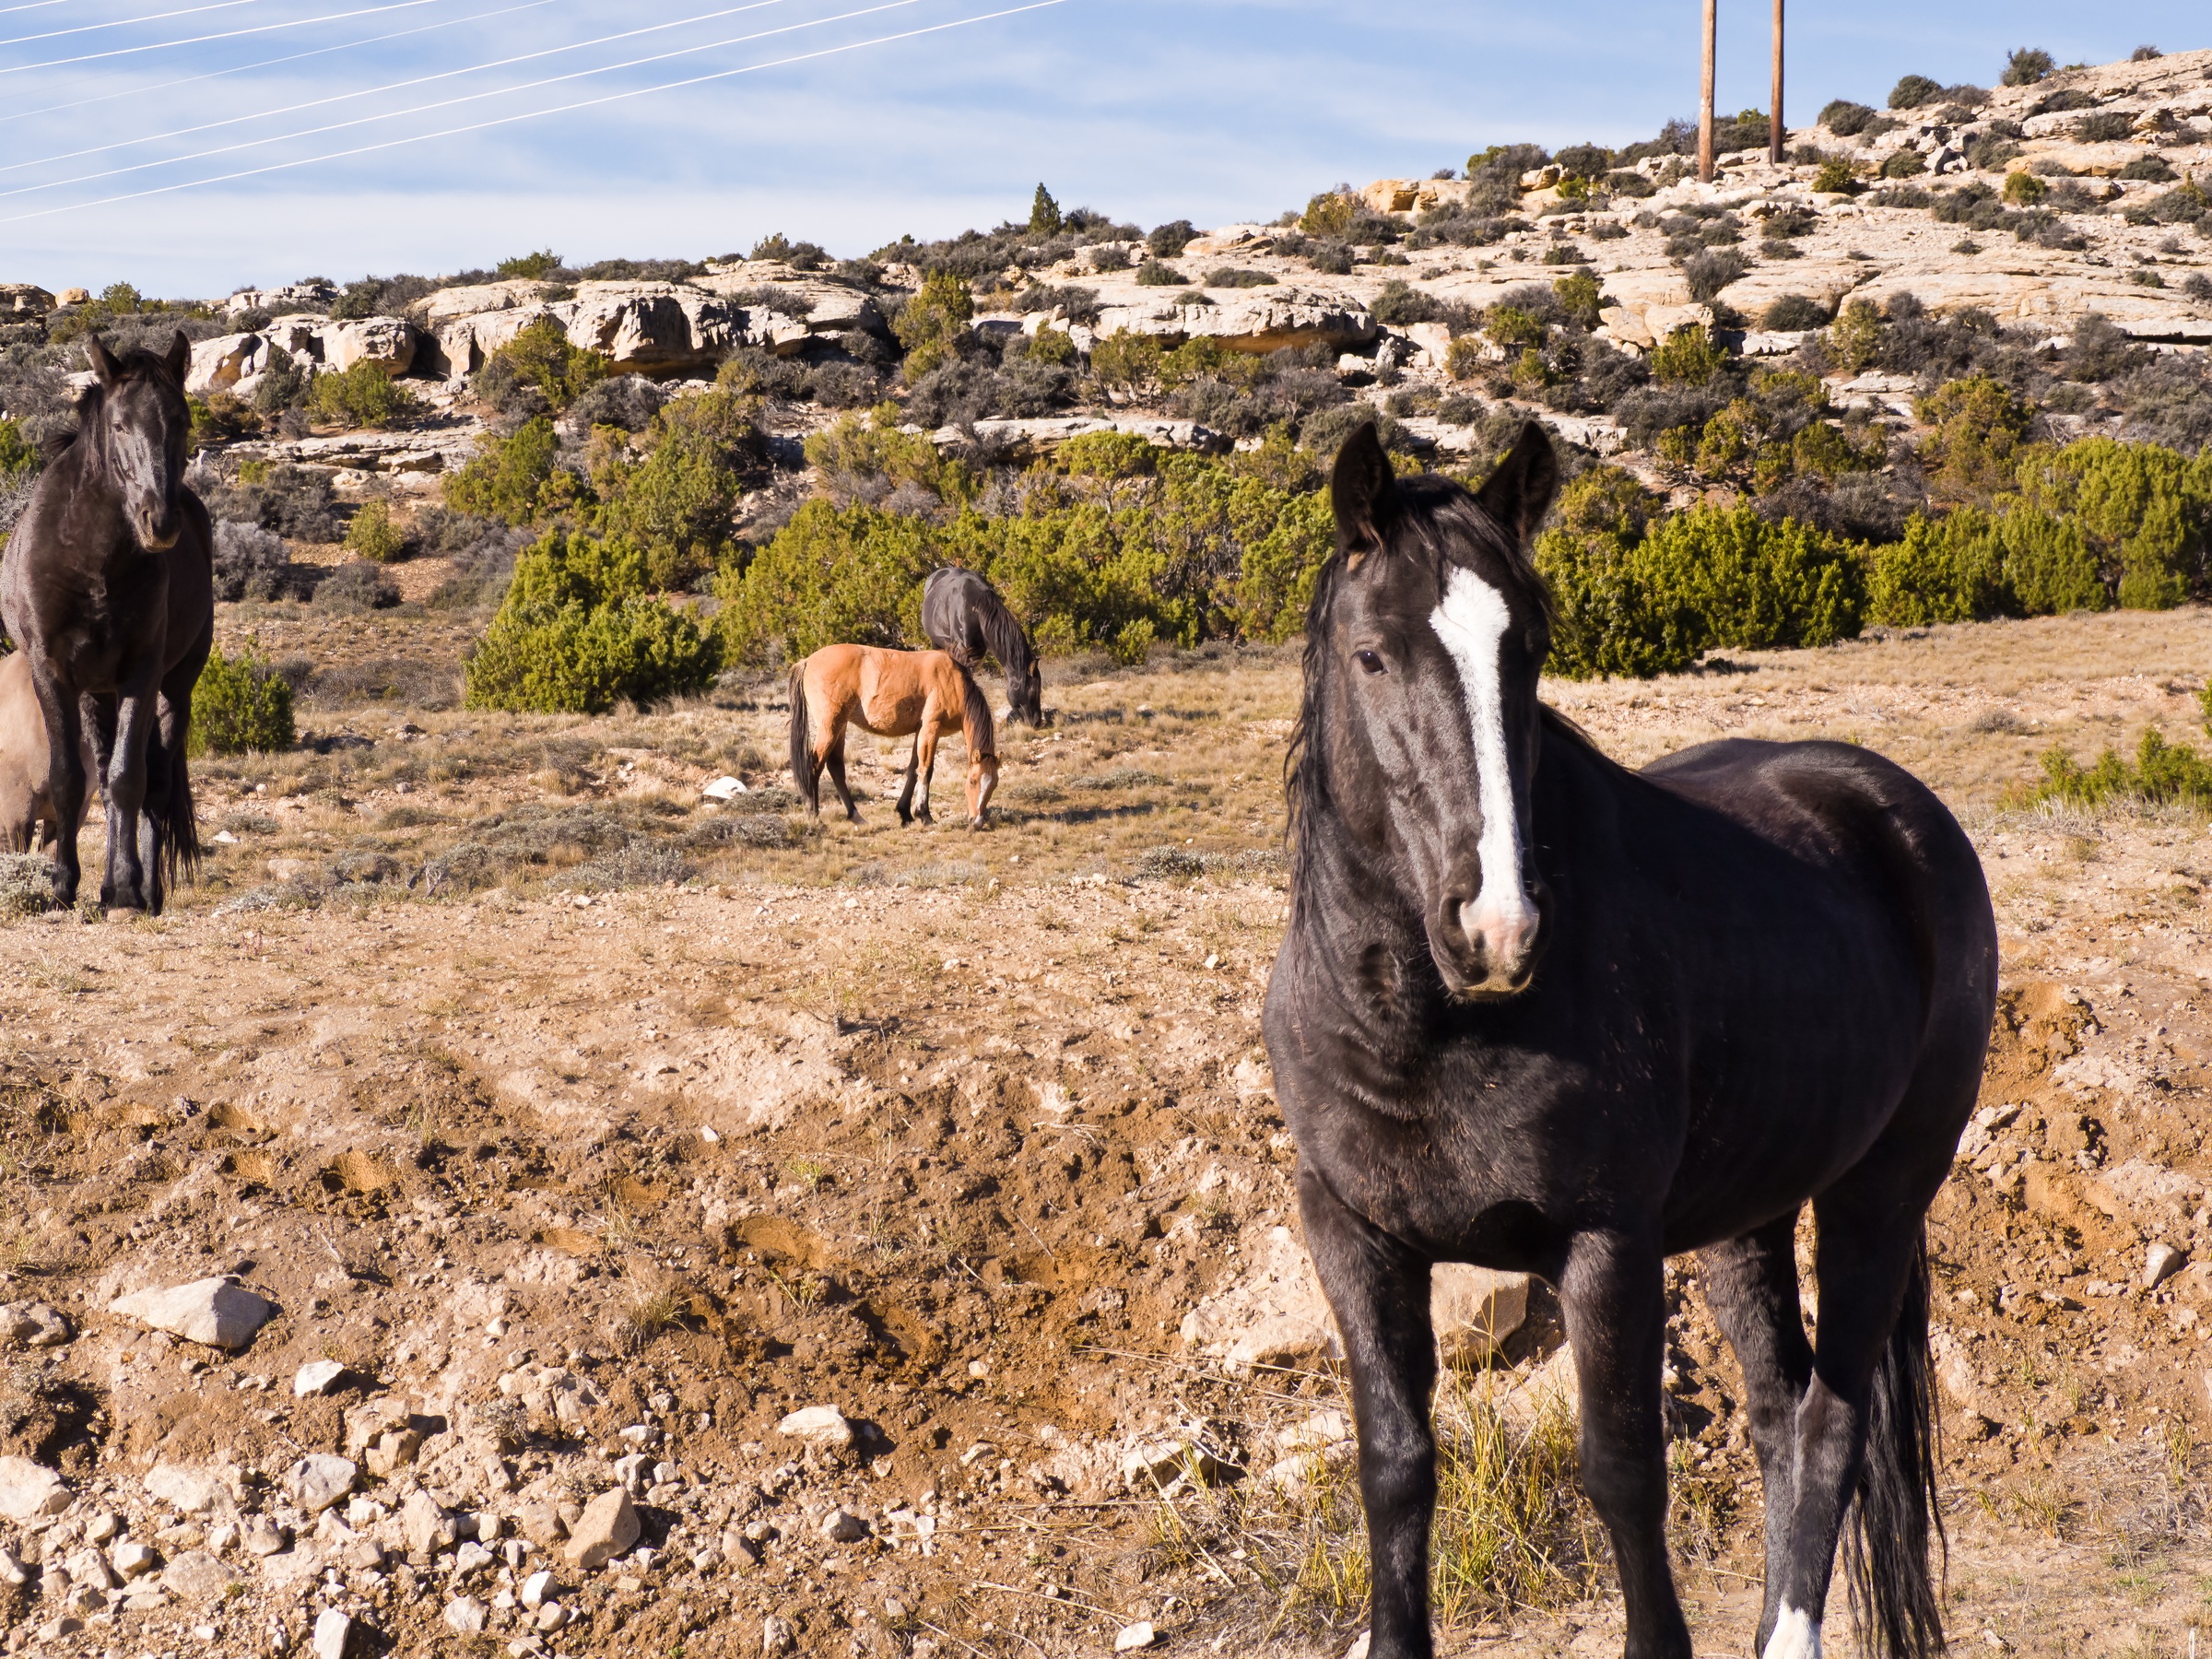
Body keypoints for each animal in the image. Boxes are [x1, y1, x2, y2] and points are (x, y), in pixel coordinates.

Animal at [788, 644, 998, 827]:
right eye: (973, 781)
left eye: (994, 785)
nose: (978, 822)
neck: (954, 683)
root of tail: (807, 661)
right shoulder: (931, 728)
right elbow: (926, 770)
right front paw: (924, 814)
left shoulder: (920, 731)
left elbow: (913, 769)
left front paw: (906, 813)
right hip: (830, 727)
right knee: (814, 766)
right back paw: (814, 816)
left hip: (840, 726)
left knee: (836, 767)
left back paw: (856, 817)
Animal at [1264, 422, 1997, 1659]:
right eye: (1372, 656)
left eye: (1529, 650)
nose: (1498, 927)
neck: (1427, 1029)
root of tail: (1900, 808)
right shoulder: (1354, 1235)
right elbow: (1396, 1471)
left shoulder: (1606, 1245)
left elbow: (1622, 1475)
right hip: (1753, 1214)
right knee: (1782, 1416)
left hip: (1882, 1194)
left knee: (1834, 1421)